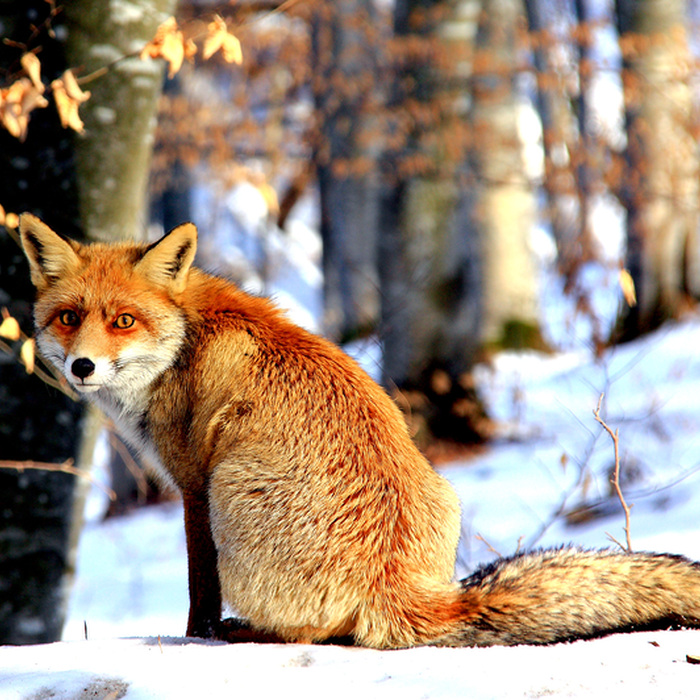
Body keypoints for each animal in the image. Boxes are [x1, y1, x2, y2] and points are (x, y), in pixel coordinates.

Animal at [19, 212, 700, 649]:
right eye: (69, 317)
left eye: (123, 320)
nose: (82, 367)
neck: (186, 337)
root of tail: (395, 585)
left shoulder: (191, 484)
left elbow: (199, 592)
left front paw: (197, 637)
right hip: (446, 490)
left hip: (229, 487)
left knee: (317, 633)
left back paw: (251, 633)